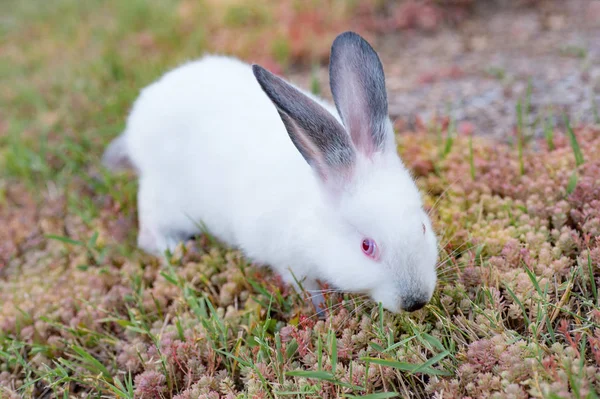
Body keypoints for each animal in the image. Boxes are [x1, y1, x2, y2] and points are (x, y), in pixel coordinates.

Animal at [103, 31, 438, 314]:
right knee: (148, 236)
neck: (314, 222)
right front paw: (320, 310)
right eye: (367, 246)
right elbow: (306, 286)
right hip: (164, 203)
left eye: (422, 226)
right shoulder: (289, 262)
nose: (415, 301)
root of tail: (137, 125)